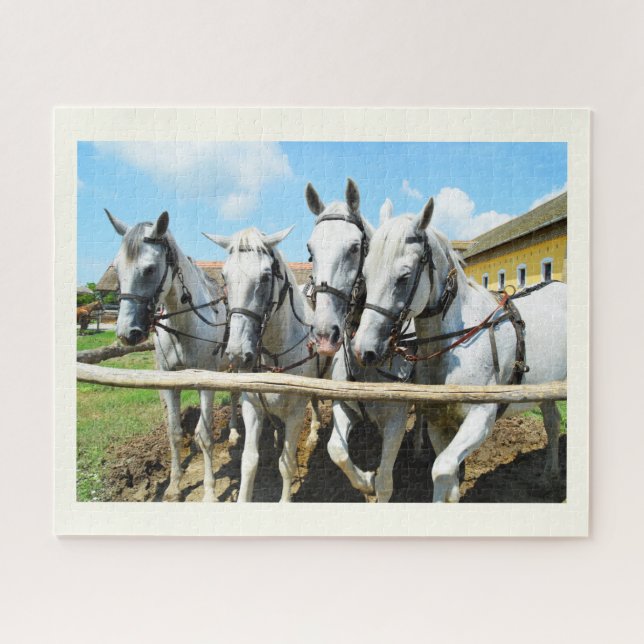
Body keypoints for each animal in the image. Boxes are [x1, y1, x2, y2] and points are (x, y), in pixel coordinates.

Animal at [105, 209, 239, 502]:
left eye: (150, 269)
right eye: (117, 268)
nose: (127, 333)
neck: (184, 325)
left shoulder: (206, 382)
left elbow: (204, 435)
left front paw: (209, 491)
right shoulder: (169, 381)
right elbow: (175, 432)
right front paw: (174, 487)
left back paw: (236, 432)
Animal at [203, 226, 319, 502]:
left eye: (266, 277)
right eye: (223, 276)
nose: (237, 354)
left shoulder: (296, 413)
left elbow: (287, 463)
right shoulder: (252, 407)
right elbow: (249, 462)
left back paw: (313, 435)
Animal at [304, 179, 415, 502]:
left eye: (355, 248)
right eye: (310, 250)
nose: (324, 334)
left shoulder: (396, 419)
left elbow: (386, 481)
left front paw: (373, 483)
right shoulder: (344, 405)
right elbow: (337, 451)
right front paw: (364, 479)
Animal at [353, 197, 567, 502]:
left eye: (404, 276)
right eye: (366, 274)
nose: (364, 349)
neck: (452, 348)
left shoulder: (481, 418)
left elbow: (441, 468)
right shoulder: (439, 423)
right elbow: (447, 482)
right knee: (552, 421)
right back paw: (548, 477)